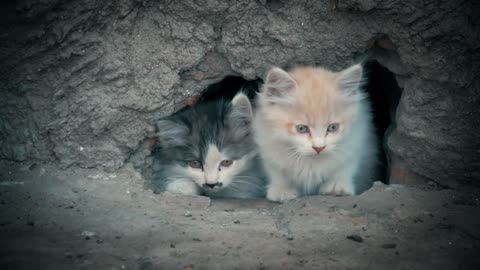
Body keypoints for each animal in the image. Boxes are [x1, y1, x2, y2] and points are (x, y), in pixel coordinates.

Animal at [253, 64, 380, 201]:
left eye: (333, 127)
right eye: (301, 128)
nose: (319, 148)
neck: (311, 163)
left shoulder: (357, 140)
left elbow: (345, 167)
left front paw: (336, 187)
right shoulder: (267, 147)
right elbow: (276, 172)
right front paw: (282, 190)